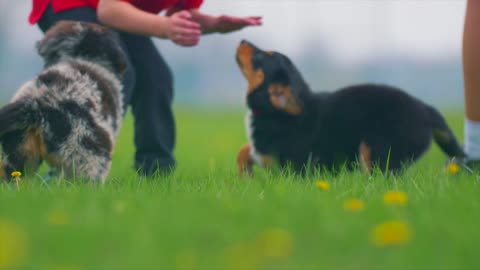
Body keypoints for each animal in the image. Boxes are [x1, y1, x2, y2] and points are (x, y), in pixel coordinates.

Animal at [236, 40, 464, 175]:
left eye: (260, 57)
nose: (242, 41)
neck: (274, 112)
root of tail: (426, 109)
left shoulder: (288, 165)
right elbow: (244, 150)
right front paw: (244, 174)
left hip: (376, 148)